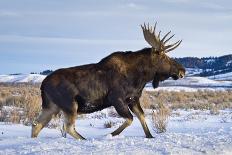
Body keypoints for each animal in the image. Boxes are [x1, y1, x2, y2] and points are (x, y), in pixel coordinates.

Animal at [31, 22, 186, 139]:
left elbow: (142, 117)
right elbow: (130, 119)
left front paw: (150, 136)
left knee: (36, 124)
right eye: (164, 56)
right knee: (68, 127)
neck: (141, 77)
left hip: (51, 106)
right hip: (70, 105)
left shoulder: (133, 99)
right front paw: (111, 134)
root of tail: (43, 85)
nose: (182, 70)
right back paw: (84, 139)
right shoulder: (116, 98)